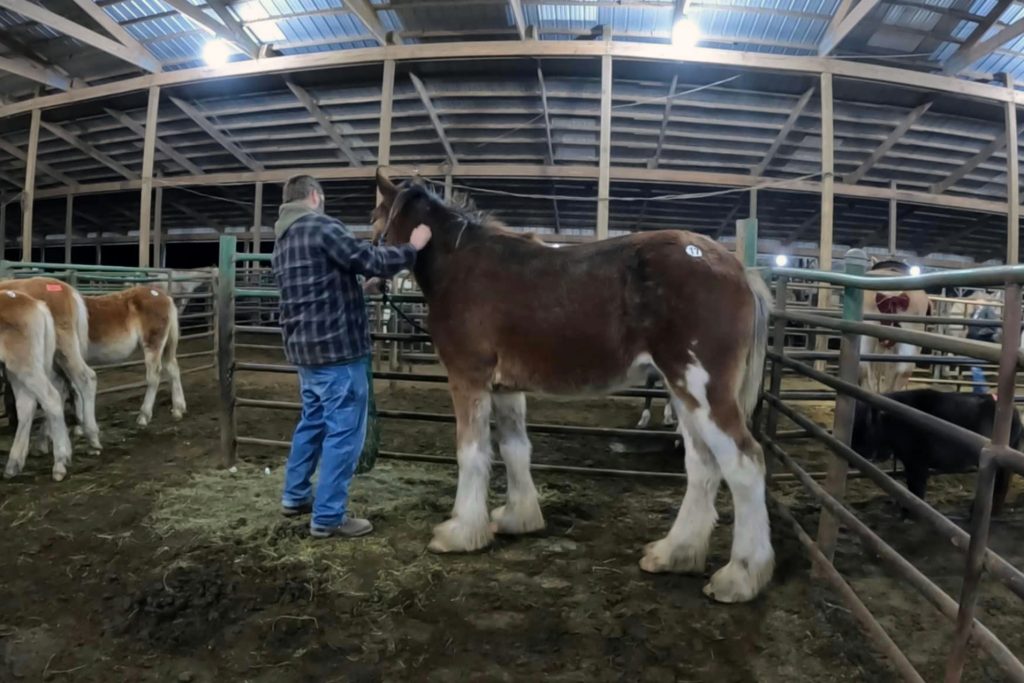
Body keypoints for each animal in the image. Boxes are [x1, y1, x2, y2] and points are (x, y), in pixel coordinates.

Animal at [0, 289, 72, 481]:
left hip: (26, 367)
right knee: (26, 406)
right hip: (16, 372)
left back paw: (60, 464)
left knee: (51, 398)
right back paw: (13, 465)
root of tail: (36, 304)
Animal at [372, 170, 773, 603]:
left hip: (705, 391)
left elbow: (472, 453)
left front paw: (460, 532)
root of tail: (737, 268)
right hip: (683, 392)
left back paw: (740, 577)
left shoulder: (469, 379)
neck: (460, 264)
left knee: (744, 464)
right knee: (702, 465)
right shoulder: (506, 388)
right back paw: (675, 553)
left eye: (375, 217)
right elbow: (515, 449)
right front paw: (517, 517)